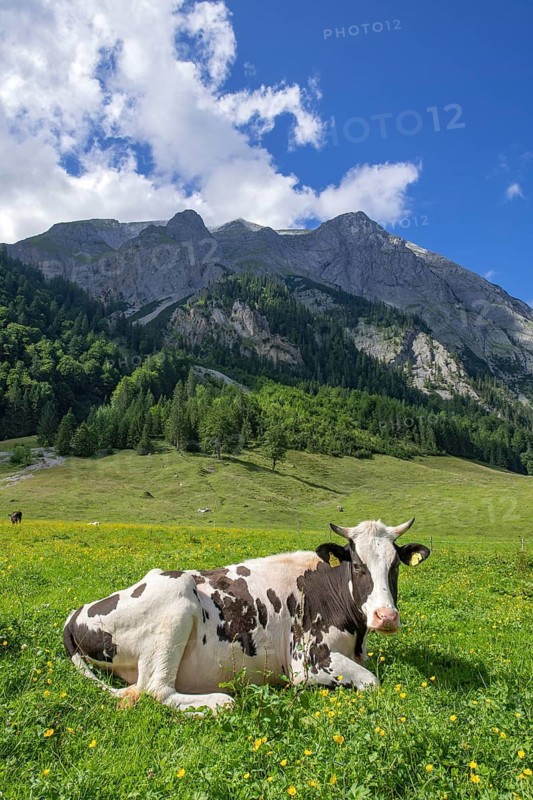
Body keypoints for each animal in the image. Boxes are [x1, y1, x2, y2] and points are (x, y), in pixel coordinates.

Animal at [63, 517, 430, 714]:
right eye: (357, 565)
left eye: (395, 565)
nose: (386, 616)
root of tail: (77, 613)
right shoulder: (307, 660)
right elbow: (371, 681)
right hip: (175, 601)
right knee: (156, 689)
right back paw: (219, 701)